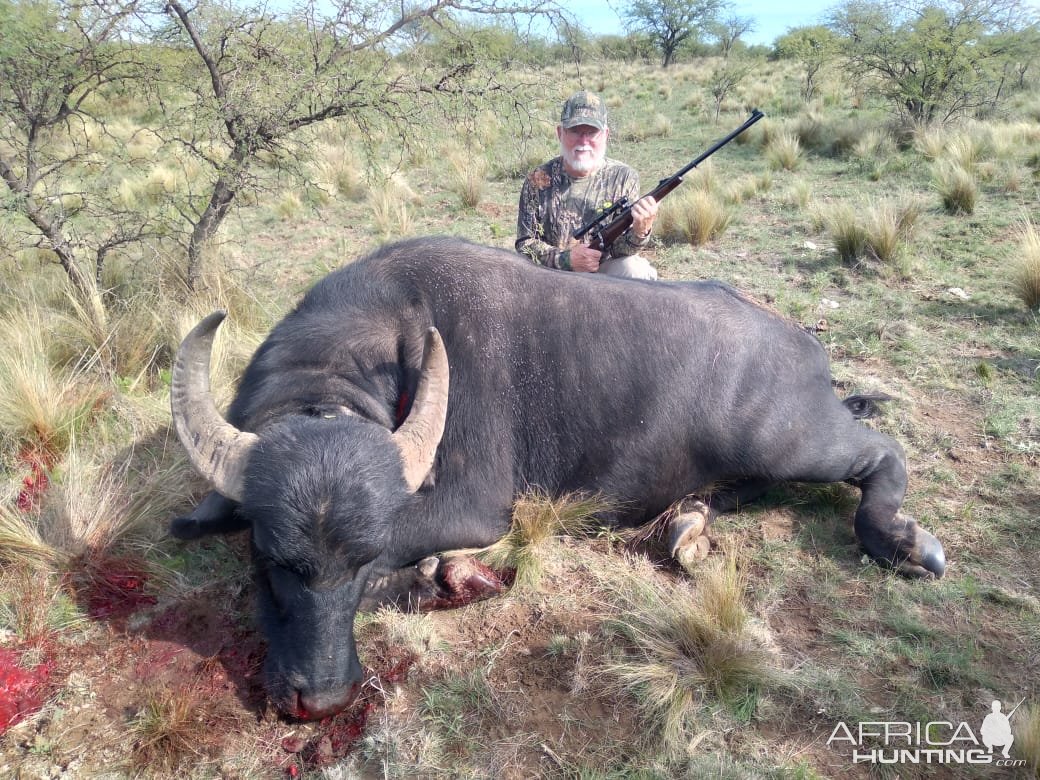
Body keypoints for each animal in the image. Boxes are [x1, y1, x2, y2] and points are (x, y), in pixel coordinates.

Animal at [168, 237, 944, 719]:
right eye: (271, 559)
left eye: (358, 563)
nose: (323, 700)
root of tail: (804, 345)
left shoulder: (474, 510)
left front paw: (437, 578)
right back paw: (688, 524)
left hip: (793, 442)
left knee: (881, 453)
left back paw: (905, 542)